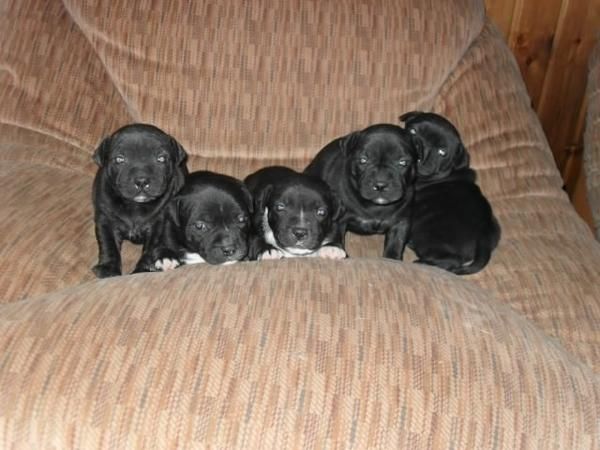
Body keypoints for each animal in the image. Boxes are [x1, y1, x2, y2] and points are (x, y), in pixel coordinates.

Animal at [91, 123, 188, 278]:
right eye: (119, 159)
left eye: (161, 158)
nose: (141, 180)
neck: (134, 205)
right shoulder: (105, 221)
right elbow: (108, 244)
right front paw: (108, 268)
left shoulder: (158, 225)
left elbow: (150, 250)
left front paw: (142, 270)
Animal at [308, 124, 414, 260]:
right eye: (363, 160)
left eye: (403, 162)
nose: (380, 184)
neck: (375, 206)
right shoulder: (339, 215)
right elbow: (336, 232)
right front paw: (334, 248)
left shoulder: (401, 222)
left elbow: (396, 242)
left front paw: (392, 258)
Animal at [398, 112, 502, 274]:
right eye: (413, 131)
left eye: (442, 152)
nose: (419, 146)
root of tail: (483, 237)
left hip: (428, 234)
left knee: (452, 260)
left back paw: (422, 262)